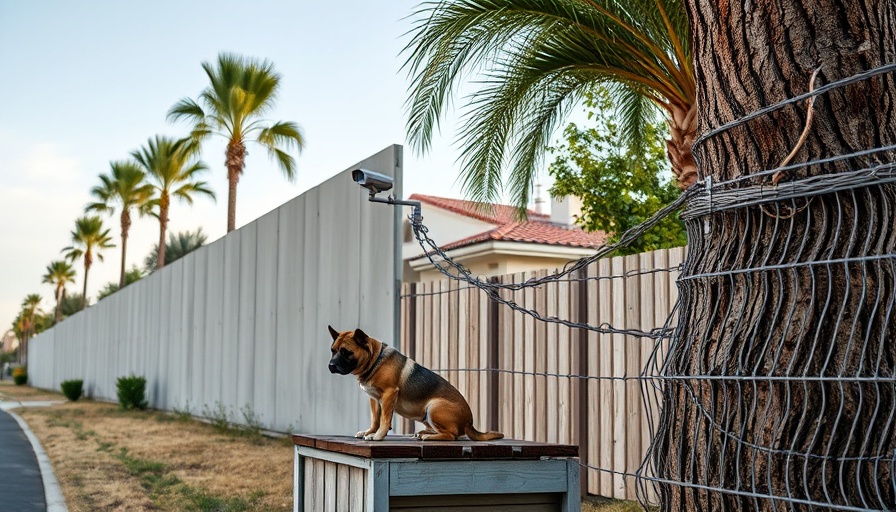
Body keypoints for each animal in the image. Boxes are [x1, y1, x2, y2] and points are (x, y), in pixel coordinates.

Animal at [328, 326, 504, 442]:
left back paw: (428, 436)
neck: (375, 360)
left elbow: (384, 419)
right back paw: (426, 433)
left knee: (452, 435)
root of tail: (469, 423)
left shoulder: (389, 395)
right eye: (332, 350)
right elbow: (375, 419)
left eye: (346, 352)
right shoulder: (374, 400)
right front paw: (370, 431)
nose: (330, 366)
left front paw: (377, 435)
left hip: (434, 406)